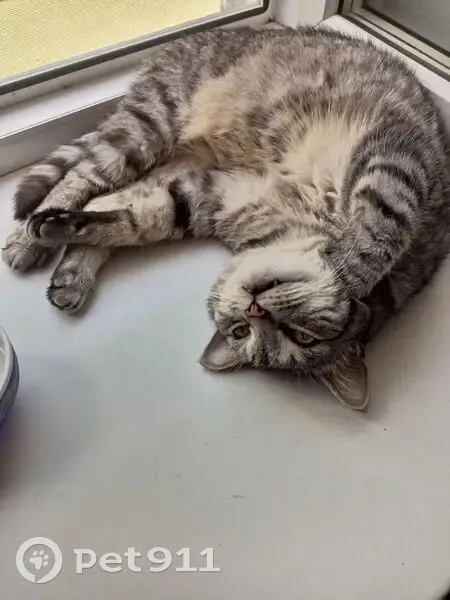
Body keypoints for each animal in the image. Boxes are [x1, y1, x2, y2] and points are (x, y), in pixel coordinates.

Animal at [3, 27, 450, 410]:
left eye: (298, 337)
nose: (254, 310)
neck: (301, 224)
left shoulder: (204, 196)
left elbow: (133, 222)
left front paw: (68, 231)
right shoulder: (395, 157)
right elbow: (382, 227)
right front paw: (349, 272)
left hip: (170, 160)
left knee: (106, 200)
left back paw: (71, 272)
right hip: (146, 130)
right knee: (81, 175)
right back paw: (27, 238)